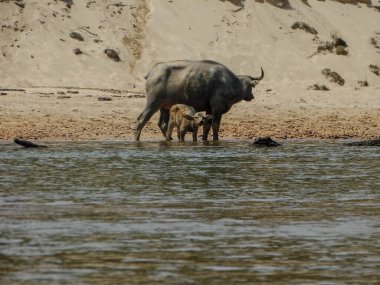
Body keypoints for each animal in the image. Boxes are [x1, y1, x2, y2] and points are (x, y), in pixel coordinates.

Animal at [134, 59, 264, 140]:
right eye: (251, 86)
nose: (251, 97)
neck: (231, 83)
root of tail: (152, 72)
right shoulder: (217, 108)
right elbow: (215, 126)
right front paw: (216, 139)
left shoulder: (209, 110)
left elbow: (206, 126)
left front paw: (205, 139)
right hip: (153, 104)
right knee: (141, 121)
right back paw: (136, 139)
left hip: (164, 107)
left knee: (163, 124)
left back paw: (169, 138)